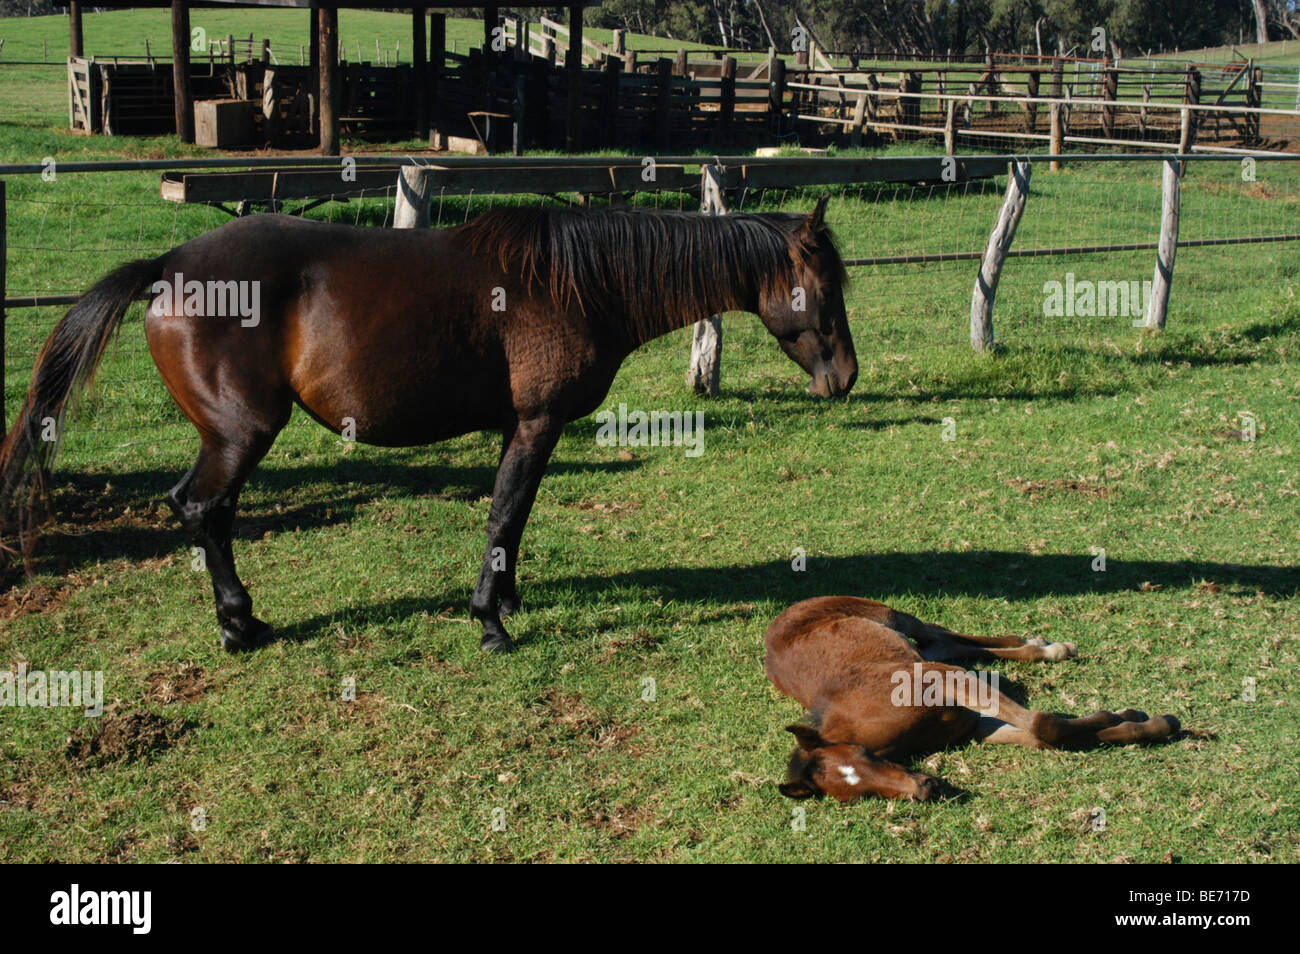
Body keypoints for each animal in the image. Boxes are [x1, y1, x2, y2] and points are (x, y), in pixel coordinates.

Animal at [0, 200, 857, 653]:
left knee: (208, 511)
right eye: (821, 288)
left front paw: (507, 601)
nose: (844, 377)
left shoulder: (526, 428)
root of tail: (169, 264)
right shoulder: (536, 423)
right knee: (201, 508)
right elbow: (505, 515)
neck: (580, 283)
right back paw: (239, 624)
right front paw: (490, 623)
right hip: (242, 433)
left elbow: (516, 518)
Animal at [765, 597, 1181, 802]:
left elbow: (1043, 724)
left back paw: (1048, 648)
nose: (925, 790)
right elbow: (1048, 736)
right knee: (945, 644)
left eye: (864, 755)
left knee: (936, 633)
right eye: (857, 795)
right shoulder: (975, 725)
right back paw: (1040, 647)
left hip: (893, 617)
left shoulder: (944, 679)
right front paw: (1143, 721)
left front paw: (1140, 717)